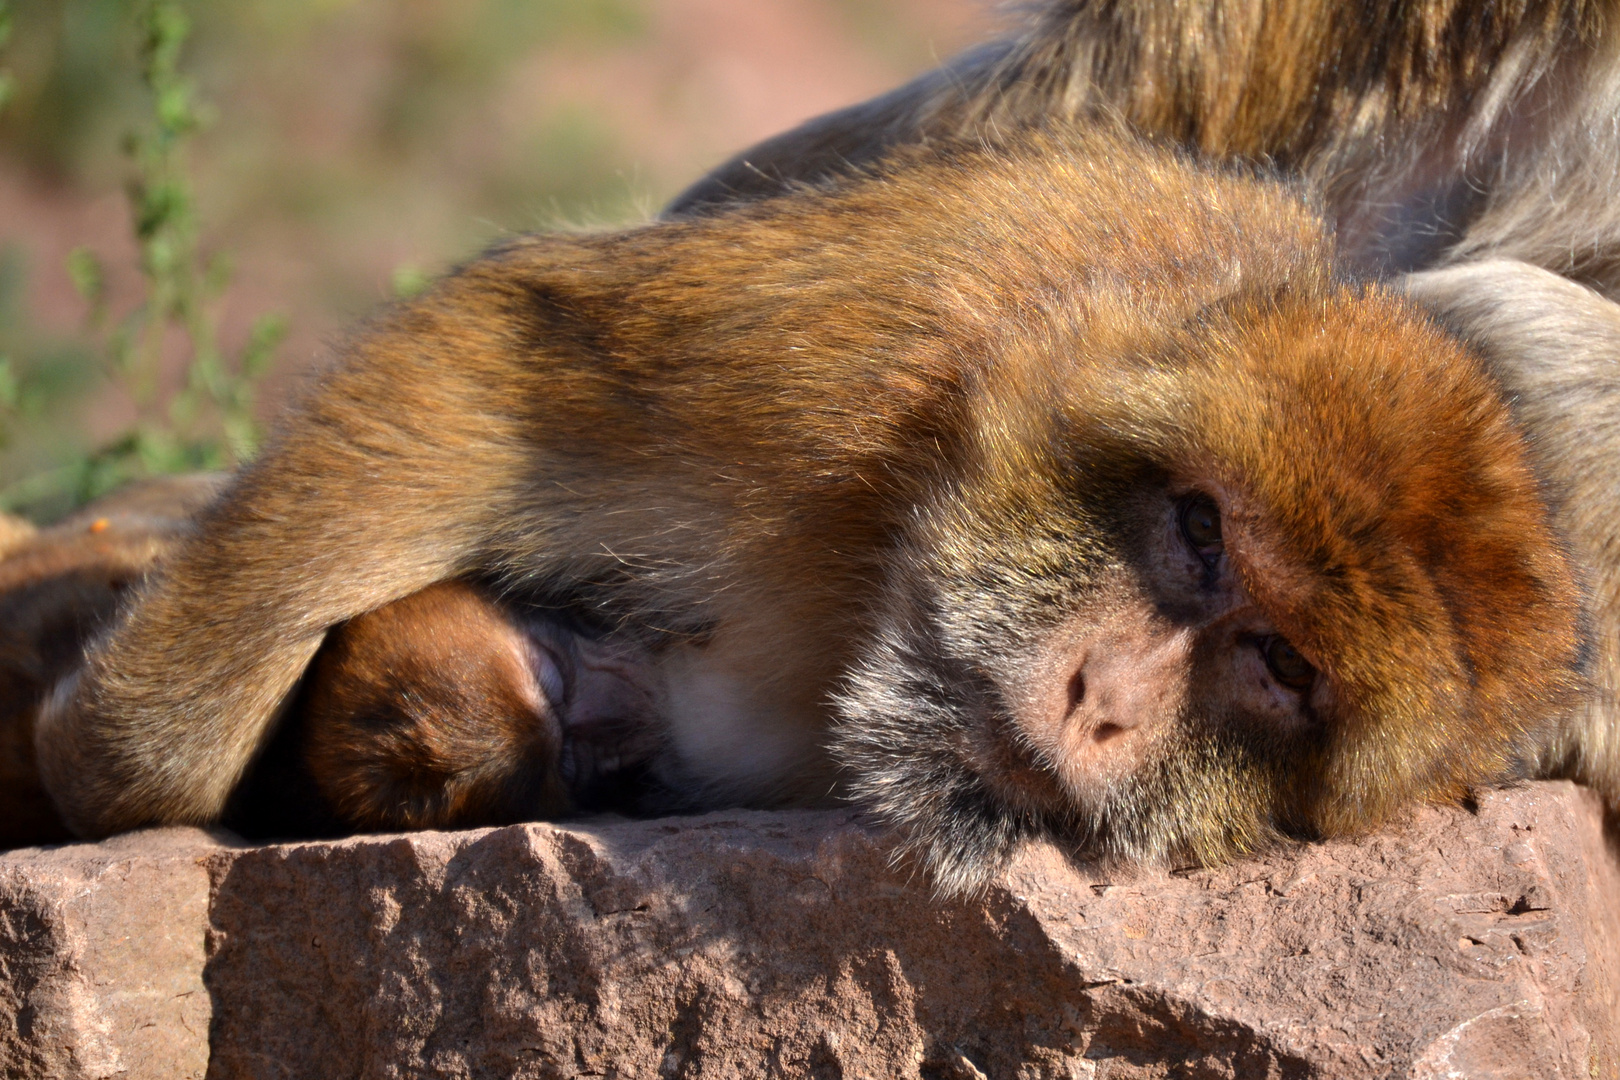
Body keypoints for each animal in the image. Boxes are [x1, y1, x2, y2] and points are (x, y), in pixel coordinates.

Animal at [31, 127, 1581, 893]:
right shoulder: (864, 354)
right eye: (1200, 535)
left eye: (1280, 666)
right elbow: (502, 344)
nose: (1099, 696)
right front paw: (97, 762)